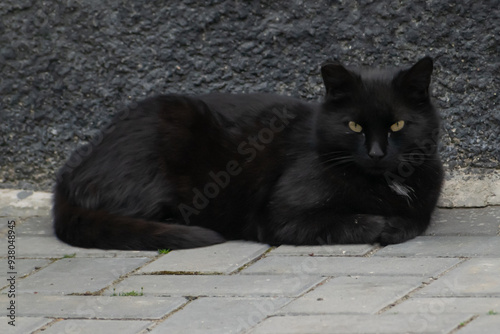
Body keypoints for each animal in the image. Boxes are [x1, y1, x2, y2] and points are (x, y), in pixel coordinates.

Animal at [54, 57, 444, 249]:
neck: (383, 183)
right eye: (354, 127)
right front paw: (384, 224)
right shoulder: (280, 216)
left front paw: (397, 224)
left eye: (398, 125)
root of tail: (70, 173)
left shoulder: (423, 200)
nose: (377, 153)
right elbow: (357, 220)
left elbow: (416, 220)